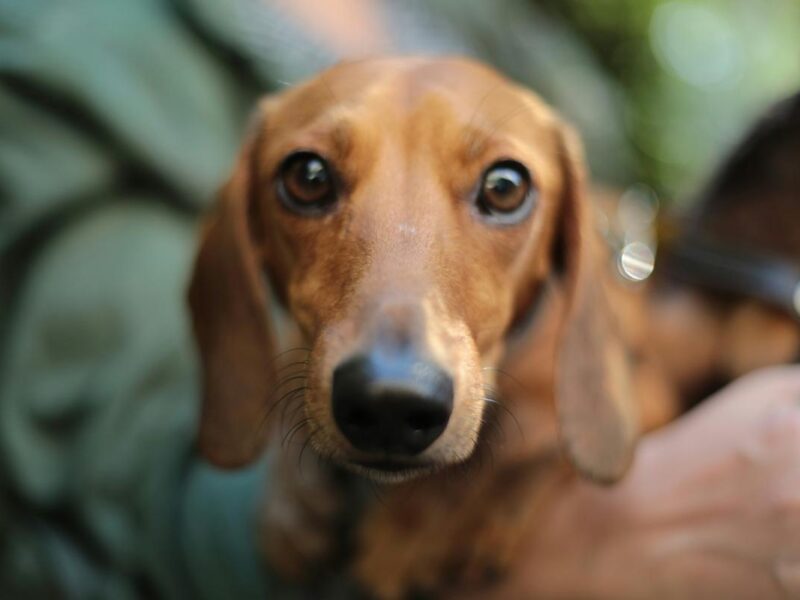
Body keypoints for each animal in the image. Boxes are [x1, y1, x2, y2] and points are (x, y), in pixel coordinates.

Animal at [186, 57, 792, 600]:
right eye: (307, 176)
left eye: (505, 186)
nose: (389, 403)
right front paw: (292, 503)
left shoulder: (647, 395)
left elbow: (529, 451)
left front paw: (436, 518)